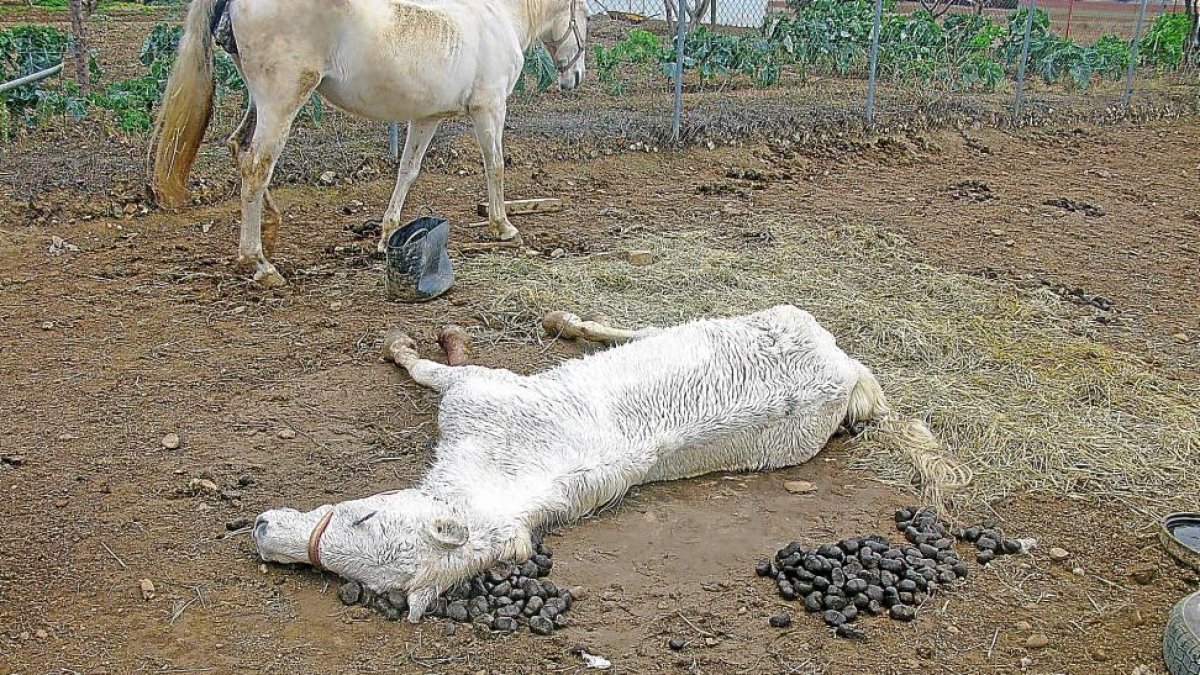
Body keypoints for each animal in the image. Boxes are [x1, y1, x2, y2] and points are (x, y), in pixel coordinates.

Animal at [149, 0, 589, 287]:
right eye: (583, 17)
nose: (576, 77)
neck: (498, 17)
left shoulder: (426, 118)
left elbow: (407, 172)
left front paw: (384, 236)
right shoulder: (490, 108)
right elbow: (494, 166)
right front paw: (503, 226)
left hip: (260, 102)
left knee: (240, 150)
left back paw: (269, 236)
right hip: (282, 103)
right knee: (258, 166)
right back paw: (258, 263)